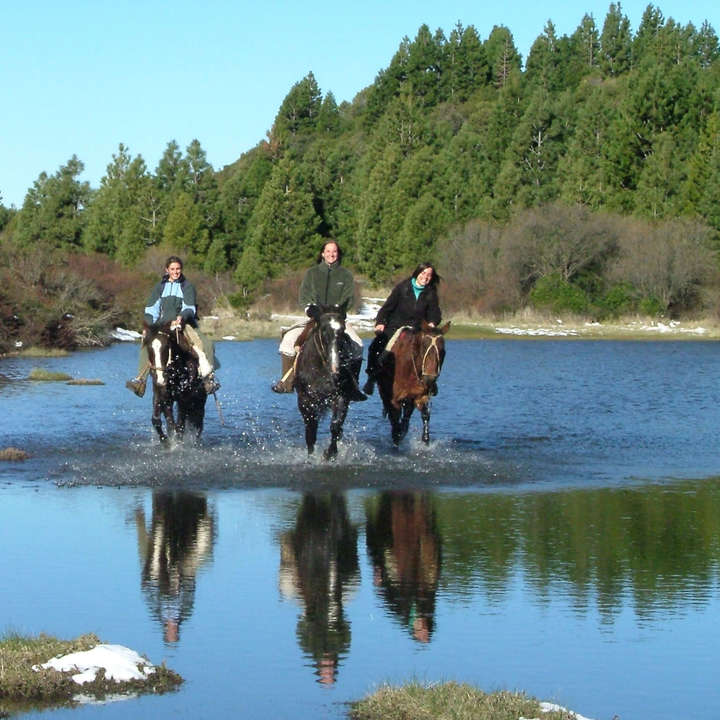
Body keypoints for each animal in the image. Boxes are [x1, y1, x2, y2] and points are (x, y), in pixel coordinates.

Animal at [294, 304, 357, 460]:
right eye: (323, 329)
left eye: (343, 329)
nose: (335, 368)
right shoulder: (306, 401)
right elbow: (310, 432)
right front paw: (311, 456)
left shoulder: (341, 397)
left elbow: (335, 426)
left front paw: (330, 453)